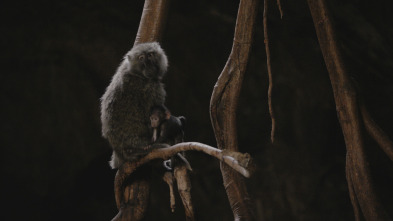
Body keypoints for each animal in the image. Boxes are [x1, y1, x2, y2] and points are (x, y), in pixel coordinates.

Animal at [100, 41, 168, 169]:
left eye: (150, 55)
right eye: (141, 58)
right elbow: (154, 116)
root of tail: (121, 152)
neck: (137, 74)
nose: (148, 65)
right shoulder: (152, 88)